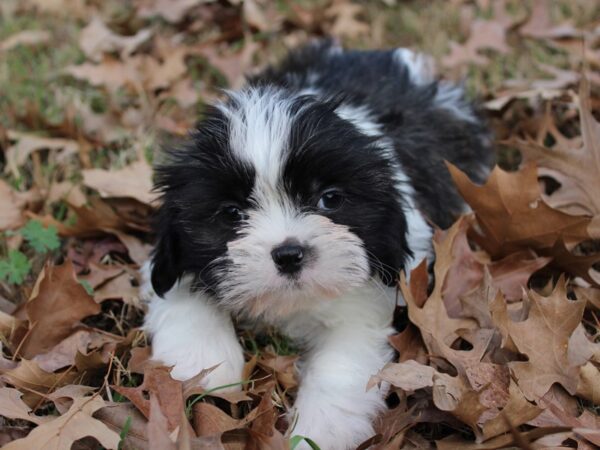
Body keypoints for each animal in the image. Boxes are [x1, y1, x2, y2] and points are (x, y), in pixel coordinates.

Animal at [142, 40, 492, 448]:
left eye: (330, 199)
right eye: (231, 212)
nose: (289, 254)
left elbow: (342, 361)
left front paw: (315, 432)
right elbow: (178, 286)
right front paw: (202, 361)